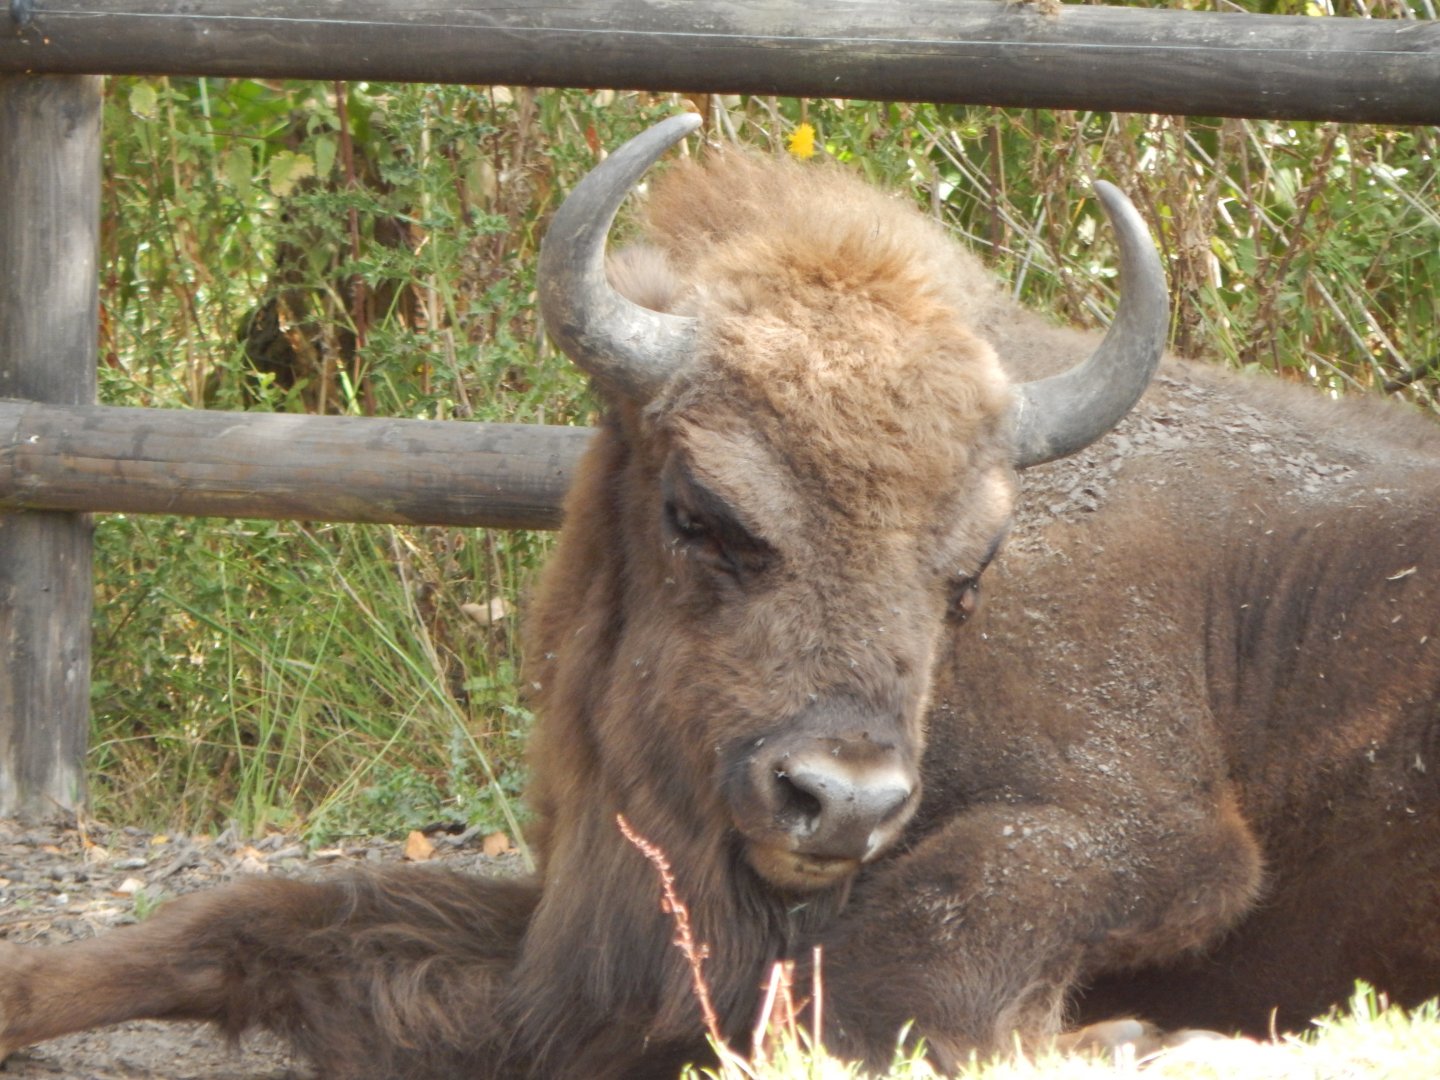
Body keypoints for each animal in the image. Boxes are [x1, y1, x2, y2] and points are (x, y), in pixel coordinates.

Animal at [2, 113, 1438, 1078]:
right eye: (701, 513)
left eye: (971, 567)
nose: (840, 799)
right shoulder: (585, 923)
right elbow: (263, 916)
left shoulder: (1151, 834)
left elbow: (864, 981)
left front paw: (1136, 1034)